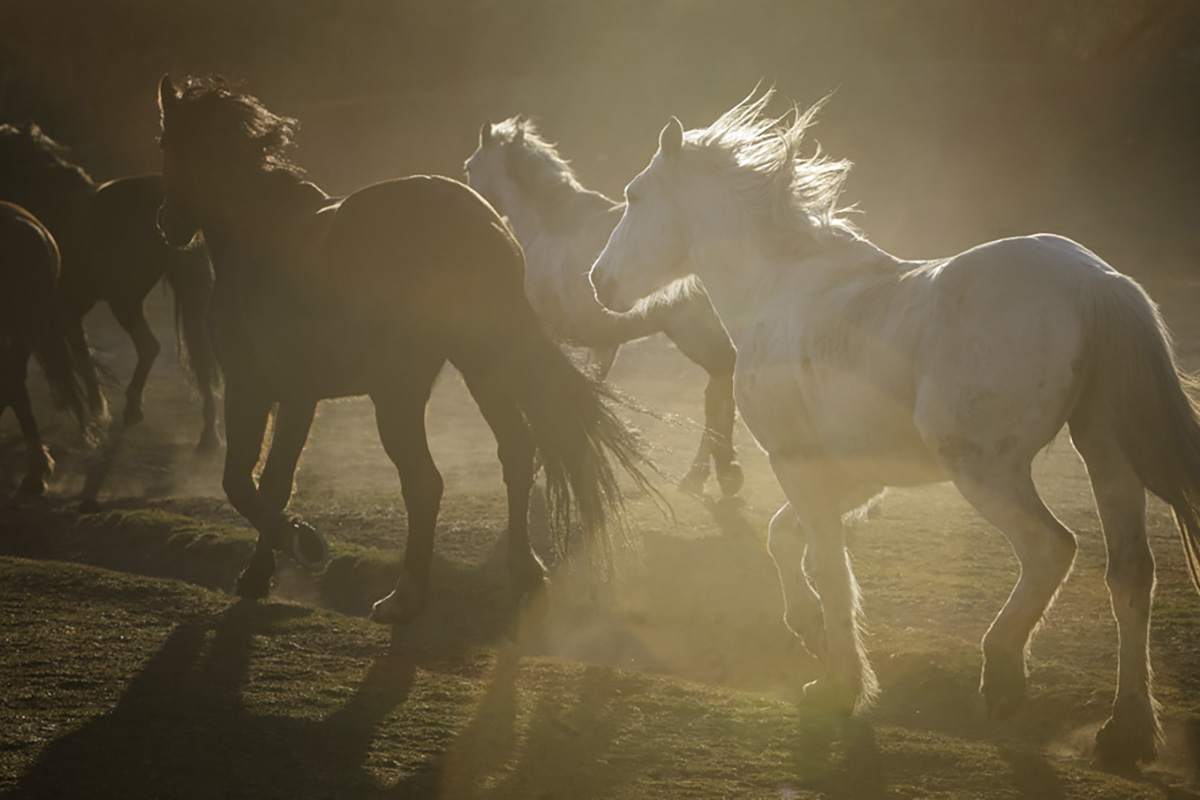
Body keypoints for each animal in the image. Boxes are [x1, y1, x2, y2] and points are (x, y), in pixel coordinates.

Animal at [0, 123, 220, 450]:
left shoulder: (60, 312)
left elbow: (81, 359)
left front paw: (95, 412)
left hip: (125, 300)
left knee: (153, 346)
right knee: (183, 351)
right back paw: (206, 431)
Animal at [159, 74, 657, 623]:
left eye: (163, 144)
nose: (166, 222)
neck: (258, 230)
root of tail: (475, 223)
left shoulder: (249, 388)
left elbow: (239, 483)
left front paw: (298, 543)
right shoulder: (298, 397)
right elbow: (274, 482)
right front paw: (257, 574)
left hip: (398, 393)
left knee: (425, 481)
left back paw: (406, 596)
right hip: (482, 368)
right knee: (516, 451)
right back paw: (523, 568)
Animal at [463, 118, 744, 496]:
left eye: (469, 167)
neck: (546, 228)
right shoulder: (602, 345)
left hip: (692, 333)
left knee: (719, 384)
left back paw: (712, 472)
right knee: (719, 388)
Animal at [588, 89, 1200, 767]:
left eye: (634, 195)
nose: (599, 281)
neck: (783, 288)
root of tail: (1097, 280)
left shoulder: (798, 464)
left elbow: (831, 570)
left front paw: (838, 687)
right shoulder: (856, 477)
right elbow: (788, 543)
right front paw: (808, 632)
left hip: (985, 467)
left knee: (1052, 549)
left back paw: (1004, 678)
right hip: (1106, 454)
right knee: (1129, 574)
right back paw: (1127, 731)